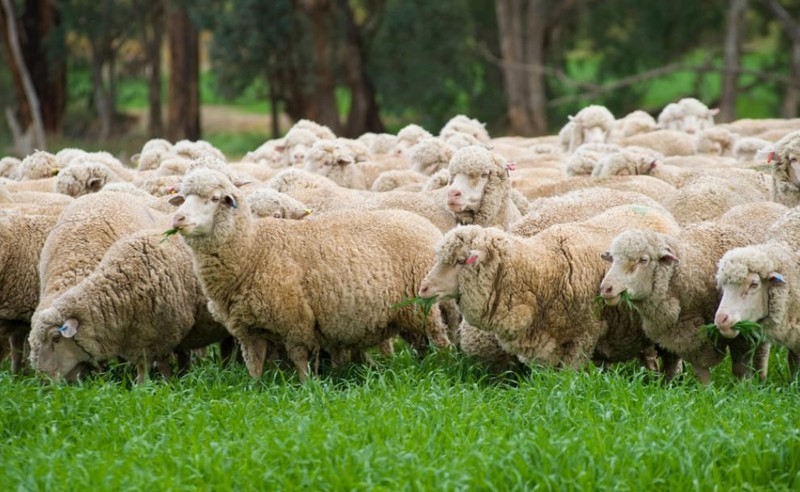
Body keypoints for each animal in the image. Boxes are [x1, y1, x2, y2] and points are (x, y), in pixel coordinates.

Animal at [28, 229, 228, 382]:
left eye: (56, 338)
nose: (42, 378)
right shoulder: (142, 342)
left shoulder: (161, 338)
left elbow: (154, 371)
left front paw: (160, 387)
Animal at [170, 169, 454, 380]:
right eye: (184, 197)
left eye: (215, 198)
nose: (178, 219)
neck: (253, 250)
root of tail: (422, 223)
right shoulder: (247, 330)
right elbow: (255, 367)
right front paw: (256, 390)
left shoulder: (296, 320)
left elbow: (300, 361)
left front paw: (308, 388)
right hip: (406, 314)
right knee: (420, 344)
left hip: (423, 308)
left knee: (440, 341)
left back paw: (442, 368)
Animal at [600, 224, 764, 384]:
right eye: (613, 259)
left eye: (643, 260)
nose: (606, 288)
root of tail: (730, 228)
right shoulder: (682, 335)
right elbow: (689, 367)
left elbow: (739, 365)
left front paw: (741, 386)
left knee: (760, 353)